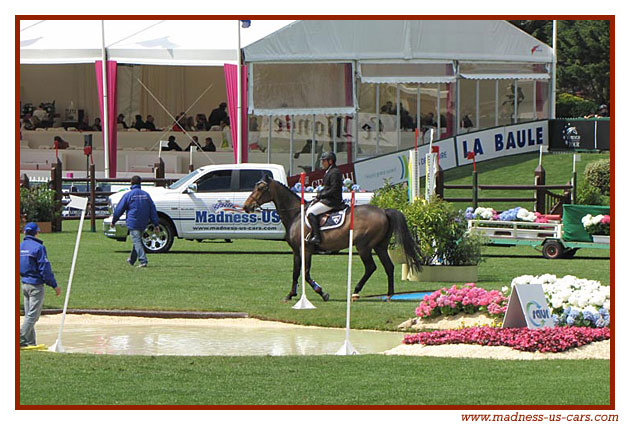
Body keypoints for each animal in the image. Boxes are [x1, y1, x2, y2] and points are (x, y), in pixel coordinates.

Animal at [243, 176, 424, 302]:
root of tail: (383, 211)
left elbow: (306, 274)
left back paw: (356, 291)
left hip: (363, 246)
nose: (246, 206)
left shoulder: (306, 249)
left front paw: (322, 293)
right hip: (379, 246)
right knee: (388, 267)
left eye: (260, 188)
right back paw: (388, 295)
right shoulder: (296, 251)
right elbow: (295, 273)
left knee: (371, 267)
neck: (296, 214)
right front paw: (290, 294)